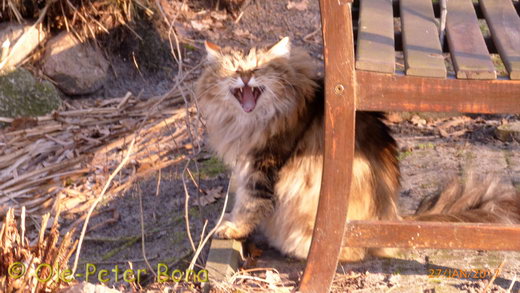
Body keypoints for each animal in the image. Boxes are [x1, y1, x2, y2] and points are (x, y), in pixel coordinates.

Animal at [195, 37, 520, 260]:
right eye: (235, 69)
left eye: (259, 69)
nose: (246, 77)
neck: (249, 122)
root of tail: (393, 217)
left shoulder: (264, 165)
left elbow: (249, 203)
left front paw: (231, 228)